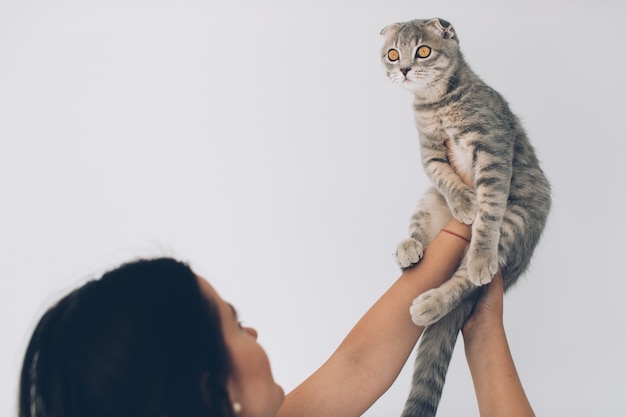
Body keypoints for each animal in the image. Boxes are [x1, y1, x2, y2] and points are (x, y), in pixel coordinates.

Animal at [378, 17, 548, 414]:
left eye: (422, 50)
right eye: (392, 54)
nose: (404, 69)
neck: (436, 104)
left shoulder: (495, 150)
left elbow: (489, 211)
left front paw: (479, 238)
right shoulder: (430, 152)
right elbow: (444, 176)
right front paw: (465, 202)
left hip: (518, 219)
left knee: (465, 281)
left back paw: (434, 301)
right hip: (428, 202)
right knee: (421, 234)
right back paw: (408, 250)